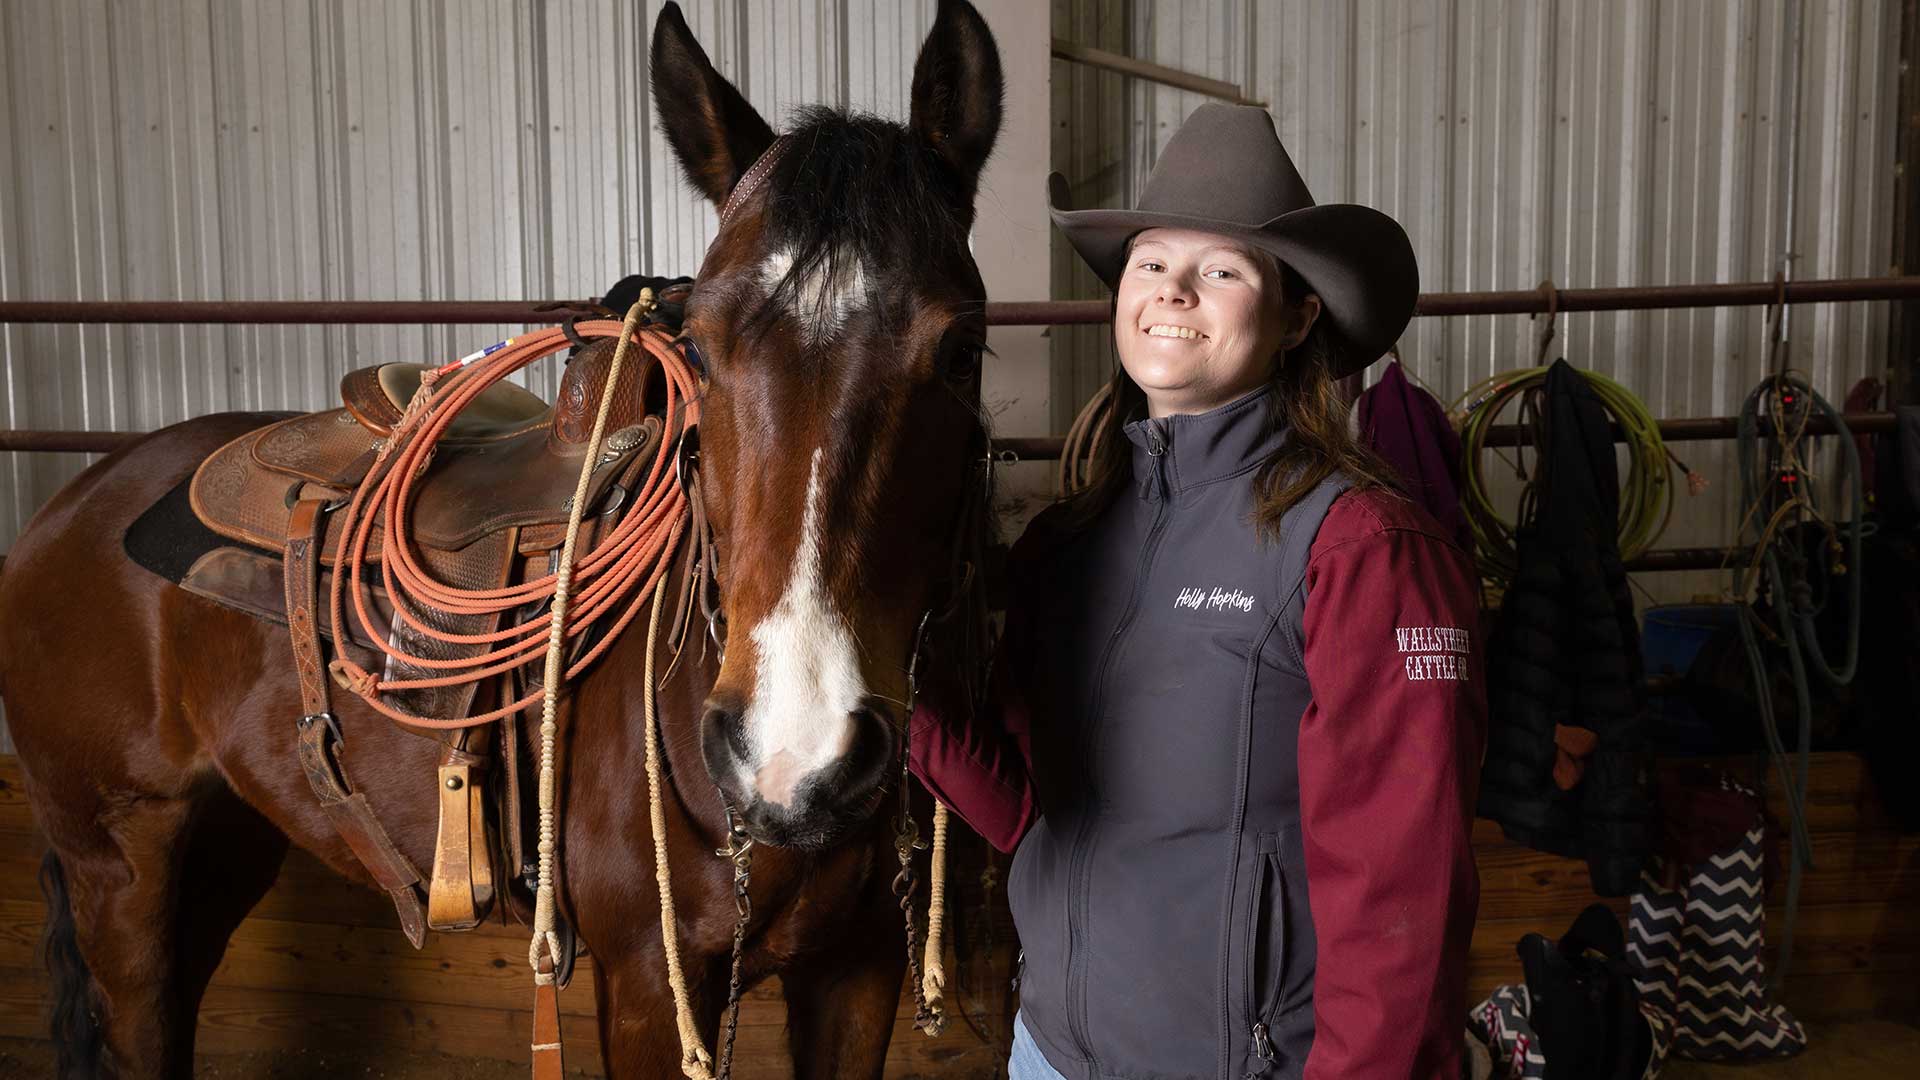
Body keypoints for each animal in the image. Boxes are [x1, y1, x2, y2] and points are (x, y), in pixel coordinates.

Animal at [0, 4, 1013, 1068]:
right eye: (698, 349)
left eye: (961, 349)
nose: (795, 753)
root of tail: (74, 501)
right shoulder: (648, 984)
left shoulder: (858, 975)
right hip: (117, 863)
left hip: (225, 842)